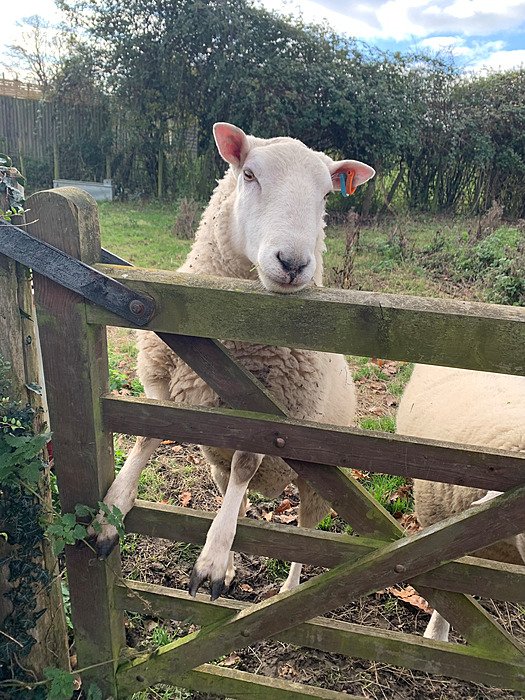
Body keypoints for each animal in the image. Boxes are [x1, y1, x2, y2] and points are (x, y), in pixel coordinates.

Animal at [95, 122, 375, 599]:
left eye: (326, 195)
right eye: (249, 175)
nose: (293, 263)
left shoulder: (272, 419)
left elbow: (247, 464)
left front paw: (211, 560)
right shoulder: (164, 382)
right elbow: (147, 435)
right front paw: (111, 510)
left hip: (320, 481)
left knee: (304, 536)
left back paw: (287, 589)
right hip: (217, 463)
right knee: (239, 497)